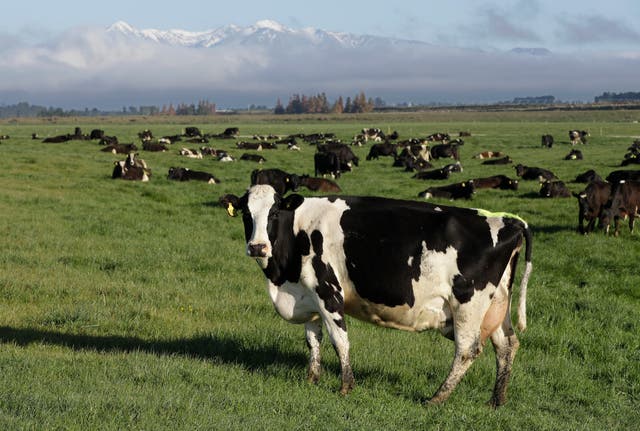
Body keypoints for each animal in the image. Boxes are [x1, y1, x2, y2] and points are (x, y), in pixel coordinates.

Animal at [221, 186, 536, 408]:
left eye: (274, 213)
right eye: (247, 214)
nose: (258, 247)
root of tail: (510, 221)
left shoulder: (327, 290)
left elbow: (340, 340)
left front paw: (346, 387)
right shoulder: (307, 294)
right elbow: (313, 340)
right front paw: (312, 378)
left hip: (468, 303)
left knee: (468, 349)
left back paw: (437, 398)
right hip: (497, 304)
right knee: (507, 345)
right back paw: (496, 400)